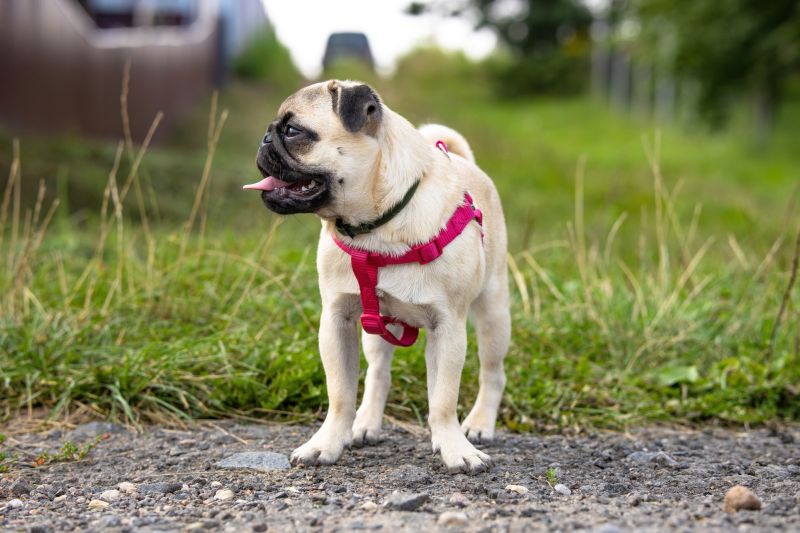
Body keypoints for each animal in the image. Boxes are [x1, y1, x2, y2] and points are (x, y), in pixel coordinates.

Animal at [244, 81, 510, 472]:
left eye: (292, 131)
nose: (264, 138)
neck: (377, 227)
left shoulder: (448, 328)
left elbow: (443, 400)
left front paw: (454, 448)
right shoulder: (336, 320)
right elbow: (340, 393)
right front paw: (326, 443)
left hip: (493, 314)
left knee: (492, 372)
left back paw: (479, 424)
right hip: (377, 327)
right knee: (378, 373)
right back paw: (366, 423)